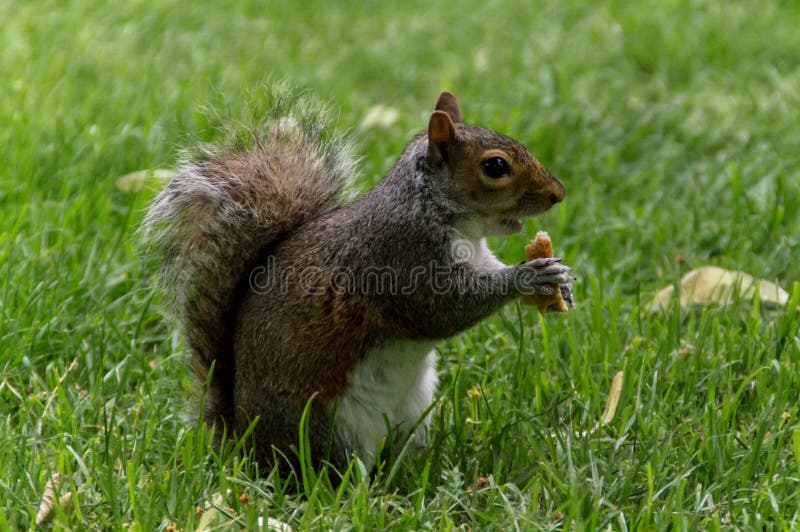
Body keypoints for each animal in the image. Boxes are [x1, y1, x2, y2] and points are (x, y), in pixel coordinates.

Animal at [144, 90, 571, 473]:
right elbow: (443, 310)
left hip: (413, 411)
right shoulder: (401, 261)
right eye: (496, 167)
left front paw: (560, 279)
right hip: (328, 430)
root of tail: (246, 443)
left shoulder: (479, 257)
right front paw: (528, 275)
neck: (433, 206)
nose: (558, 194)